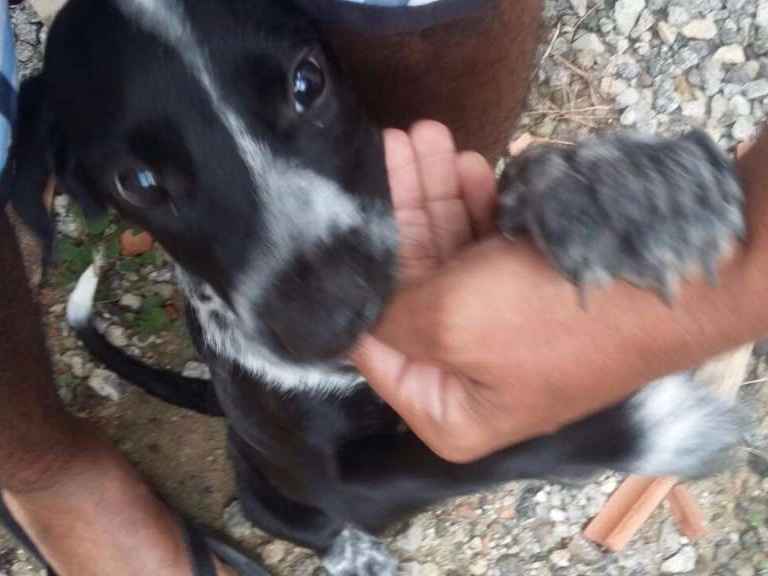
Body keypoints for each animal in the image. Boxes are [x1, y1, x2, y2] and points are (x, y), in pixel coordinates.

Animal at [1, 0, 746, 573]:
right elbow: (467, 456)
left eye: (307, 84)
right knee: (315, 527)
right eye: (138, 182)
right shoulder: (351, 481)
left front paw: (617, 196)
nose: (336, 317)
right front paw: (644, 429)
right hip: (268, 491)